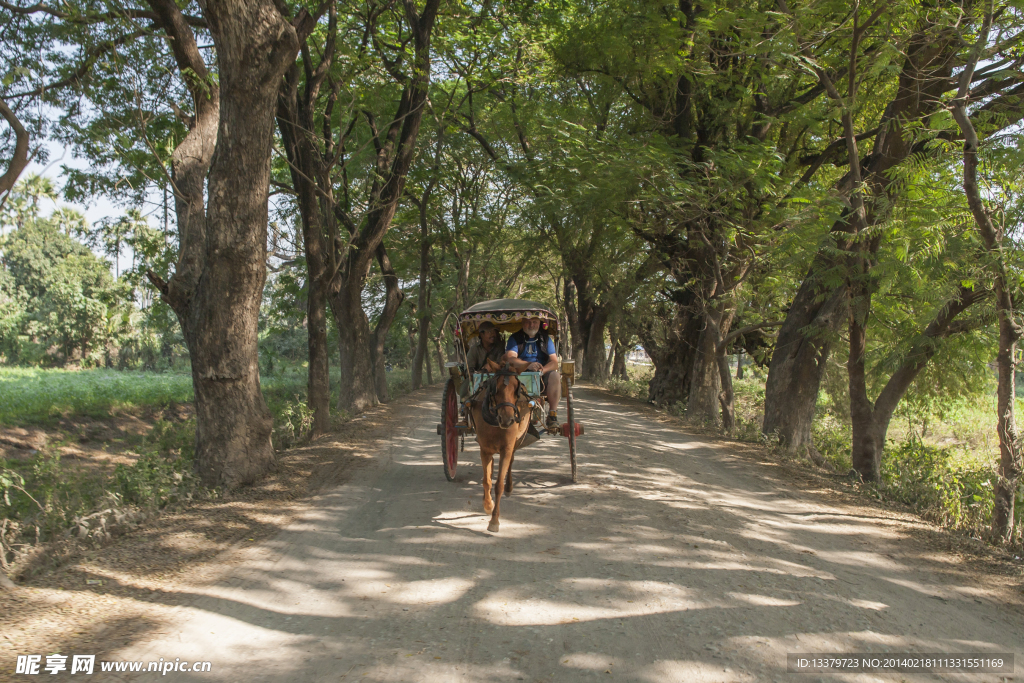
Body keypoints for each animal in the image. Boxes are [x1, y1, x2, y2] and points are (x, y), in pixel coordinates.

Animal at [471, 360, 532, 532]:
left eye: (517, 388)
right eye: (495, 387)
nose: (507, 419)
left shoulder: (506, 449)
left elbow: (499, 484)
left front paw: (494, 521)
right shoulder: (485, 450)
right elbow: (487, 480)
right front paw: (488, 505)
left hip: (516, 440)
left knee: (511, 462)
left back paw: (510, 486)